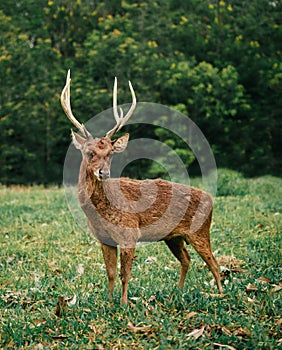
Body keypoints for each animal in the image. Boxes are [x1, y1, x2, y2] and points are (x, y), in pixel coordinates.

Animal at [61, 70, 223, 304]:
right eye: (89, 152)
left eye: (110, 153)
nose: (104, 173)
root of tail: (210, 199)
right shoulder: (104, 238)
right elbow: (110, 272)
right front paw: (108, 301)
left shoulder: (129, 232)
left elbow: (125, 273)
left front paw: (124, 303)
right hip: (173, 237)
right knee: (187, 259)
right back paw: (178, 291)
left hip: (200, 230)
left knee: (214, 263)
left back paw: (220, 294)